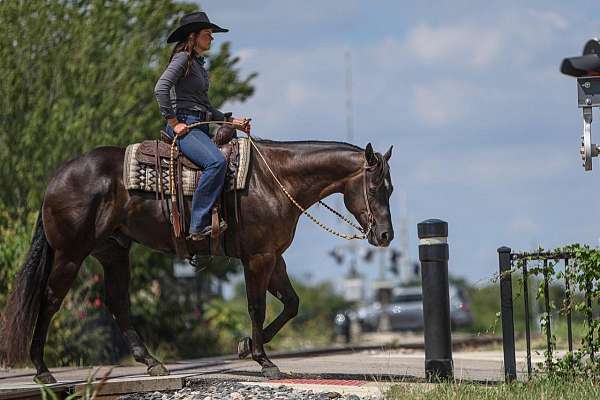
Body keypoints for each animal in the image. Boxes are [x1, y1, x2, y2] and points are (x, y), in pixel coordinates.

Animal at [0, 139, 396, 382]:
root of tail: (58, 176)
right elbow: (257, 307)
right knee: (50, 300)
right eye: (376, 187)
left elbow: (291, 304)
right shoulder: (258, 258)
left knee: (117, 303)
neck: (275, 180)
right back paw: (42, 369)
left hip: (113, 252)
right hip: (70, 253)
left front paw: (245, 347)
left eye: (390, 189)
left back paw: (152, 363)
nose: (385, 236)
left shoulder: (274, 258)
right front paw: (263, 360)